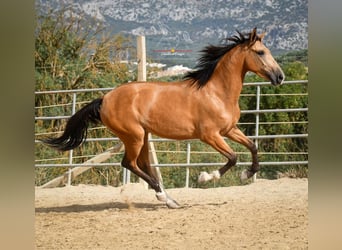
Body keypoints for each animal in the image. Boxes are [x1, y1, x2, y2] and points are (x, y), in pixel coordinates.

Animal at [42, 27, 284, 208]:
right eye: (261, 52)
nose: (280, 77)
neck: (216, 92)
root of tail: (105, 99)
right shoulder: (210, 135)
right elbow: (233, 157)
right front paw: (206, 177)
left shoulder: (229, 130)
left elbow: (252, 146)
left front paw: (246, 174)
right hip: (134, 136)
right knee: (129, 163)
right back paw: (163, 197)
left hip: (142, 137)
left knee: (142, 164)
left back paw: (169, 199)